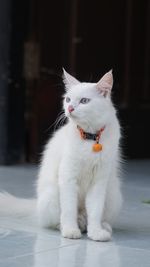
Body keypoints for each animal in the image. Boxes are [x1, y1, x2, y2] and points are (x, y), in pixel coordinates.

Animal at [0, 69, 122, 243]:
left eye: (84, 101)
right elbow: (69, 209)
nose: (70, 108)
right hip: (51, 196)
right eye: (68, 99)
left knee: (93, 217)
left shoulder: (99, 181)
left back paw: (101, 226)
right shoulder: (68, 177)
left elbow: (95, 211)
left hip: (113, 196)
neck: (90, 137)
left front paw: (96, 232)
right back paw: (68, 226)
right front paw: (71, 231)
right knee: (56, 220)